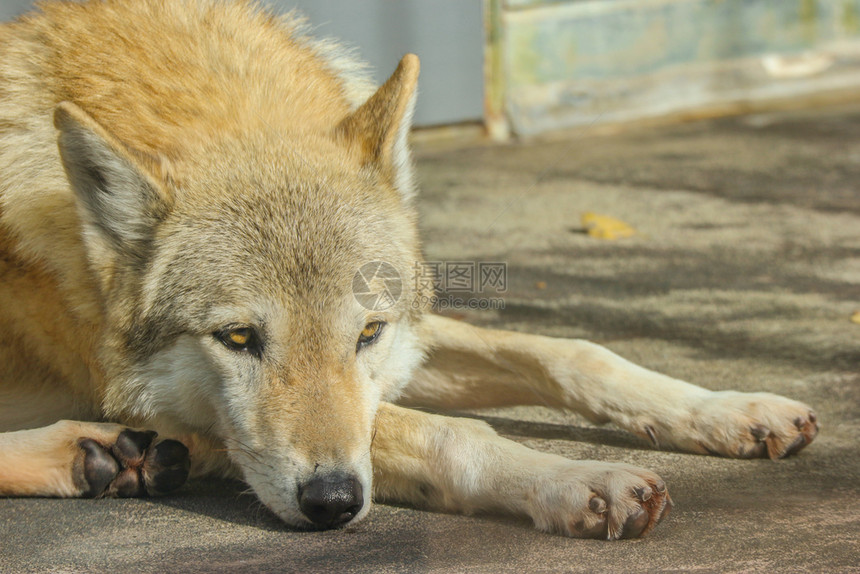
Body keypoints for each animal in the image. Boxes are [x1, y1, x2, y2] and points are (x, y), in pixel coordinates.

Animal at [0, 0, 820, 544]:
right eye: (237, 339)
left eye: (366, 333)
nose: (332, 501)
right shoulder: (181, 410)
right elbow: (455, 436)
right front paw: (581, 480)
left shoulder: (405, 345)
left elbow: (574, 354)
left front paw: (730, 410)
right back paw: (92, 455)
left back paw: (108, 459)